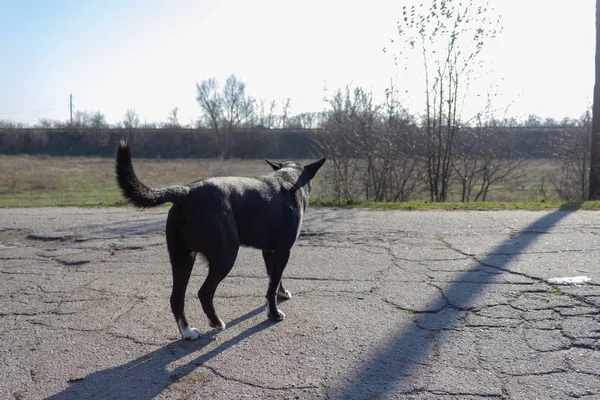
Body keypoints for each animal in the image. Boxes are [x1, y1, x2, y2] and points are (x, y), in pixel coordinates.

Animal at [115, 142, 326, 340]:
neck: (289, 178)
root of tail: (186, 192)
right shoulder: (283, 250)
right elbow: (272, 285)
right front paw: (273, 314)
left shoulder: (269, 251)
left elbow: (275, 278)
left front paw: (281, 293)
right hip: (225, 256)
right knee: (204, 292)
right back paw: (216, 322)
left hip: (182, 258)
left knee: (176, 298)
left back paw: (188, 332)